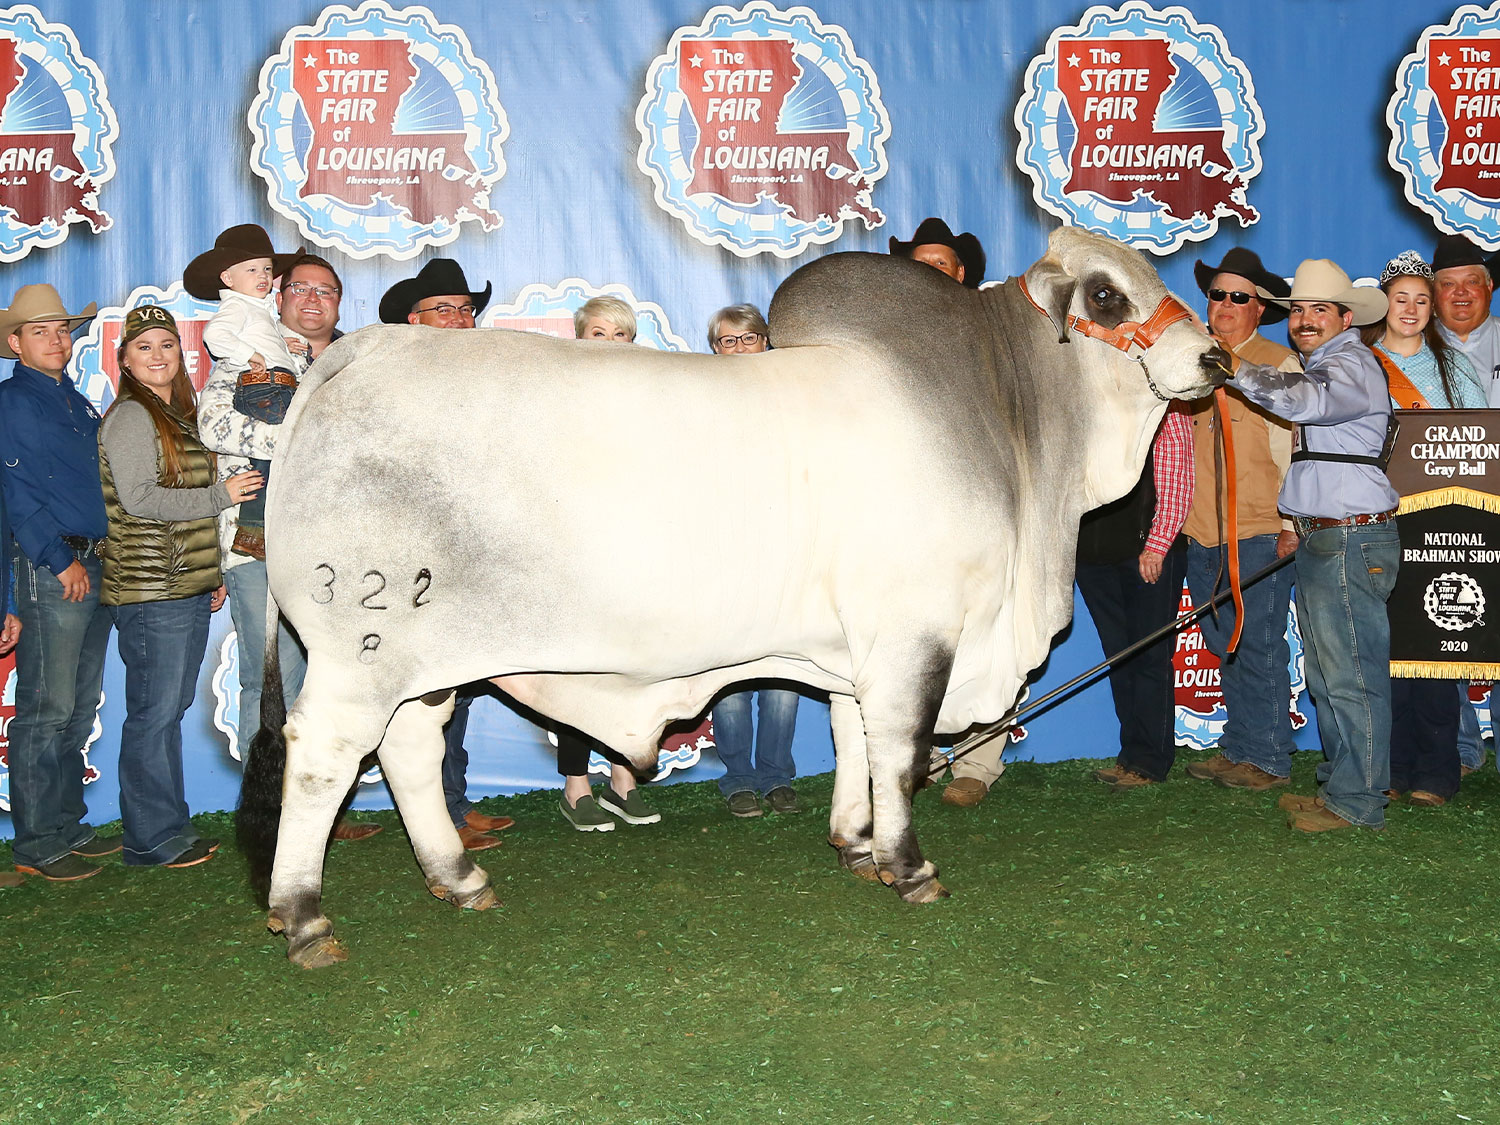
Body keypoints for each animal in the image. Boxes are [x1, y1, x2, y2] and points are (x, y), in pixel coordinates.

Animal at [234, 226, 1218, 972]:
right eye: (1106, 298)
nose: (1211, 355)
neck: (1010, 423)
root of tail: (361, 350)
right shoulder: (917, 636)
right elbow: (900, 752)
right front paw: (907, 865)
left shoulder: (859, 649)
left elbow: (852, 735)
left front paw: (854, 842)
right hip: (359, 649)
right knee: (325, 760)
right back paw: (306, 917)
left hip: (425, 659)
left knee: (409, 748)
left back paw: (458, 878)